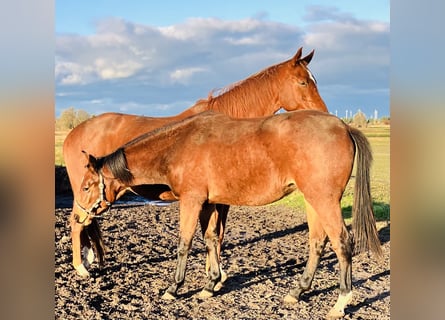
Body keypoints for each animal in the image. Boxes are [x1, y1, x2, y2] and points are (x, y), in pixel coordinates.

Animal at [62, 47, 326, 278]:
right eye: (303, 82)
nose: (323, 114)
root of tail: (73, 133)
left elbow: (216, 234)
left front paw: (216, 273)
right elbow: (214, 233)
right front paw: (214, 274)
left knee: (86, 223)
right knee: (76, 222)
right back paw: (81, 267)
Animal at [77, 110, 382, 320]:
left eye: (87, 186)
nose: (80, 217)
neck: (180, 146)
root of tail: (344, 126)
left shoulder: (192, 200)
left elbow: (184, 244)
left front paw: (174, 288)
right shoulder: (209, 203)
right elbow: (211, 239)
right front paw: (211, 284)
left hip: (323, 200)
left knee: (342, 242)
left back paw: (341, 301)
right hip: (312, 200)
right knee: (318, 243)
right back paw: (297, 292)